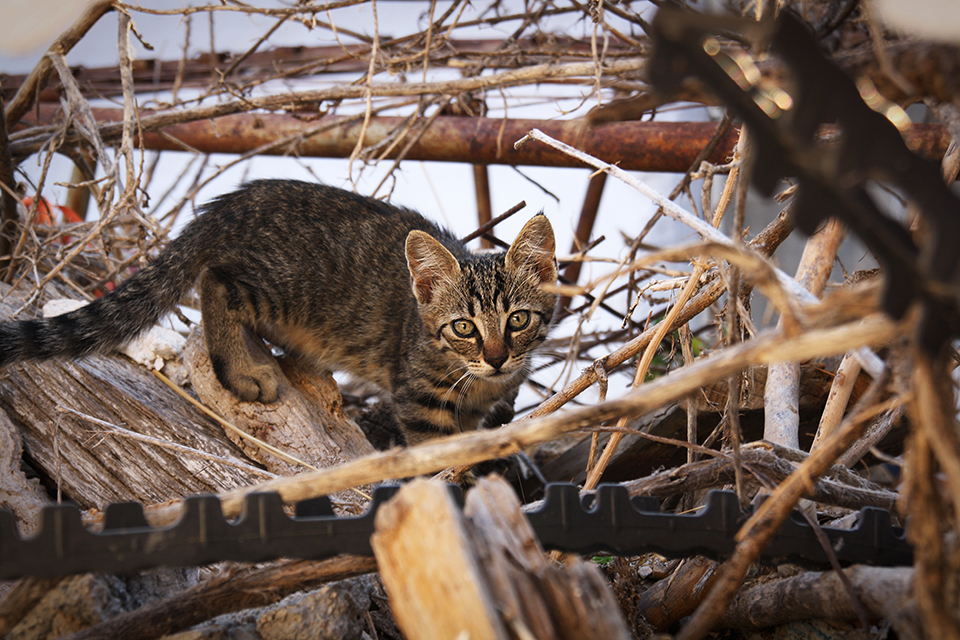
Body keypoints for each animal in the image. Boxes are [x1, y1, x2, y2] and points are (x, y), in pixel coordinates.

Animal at [0, 180, 556, 444]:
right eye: (463, 327)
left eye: (517, 320)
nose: (497, 358)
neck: (474, 381)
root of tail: (230, 204)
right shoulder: (419, 400)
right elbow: (434, 456)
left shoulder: (478, 410)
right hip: (281, 286)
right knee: (214, 282)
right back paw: (243, 371)